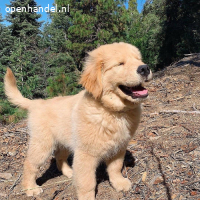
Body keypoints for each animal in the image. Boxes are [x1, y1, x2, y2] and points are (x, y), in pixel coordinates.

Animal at [4, 41, 152, 198]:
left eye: (139, 59)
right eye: (120, 64)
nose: (145, 68)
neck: (112, 111)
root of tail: (36, 103)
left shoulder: (119, 147)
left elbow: (115, 168)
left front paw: (120, 183)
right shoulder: (85, 154)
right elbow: (87, 181)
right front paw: (87, 197)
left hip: (64, 141)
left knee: (59, 157)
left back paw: (70, 172)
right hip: (43, 144)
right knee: (29, 164)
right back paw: (30, 188)